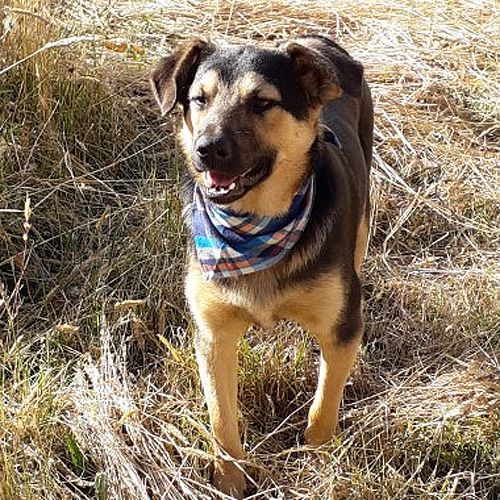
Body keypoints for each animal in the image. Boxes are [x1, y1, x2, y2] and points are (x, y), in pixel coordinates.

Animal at [150, 34, 374, 496]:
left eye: (263, 102)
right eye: (198, 99)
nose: (207, 150)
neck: (255, 225)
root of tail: (320, 39)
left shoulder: (340, 330)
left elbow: (324, 404)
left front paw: (318, 462)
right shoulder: (213, 334)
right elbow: (221, 418)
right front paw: (230, 478)